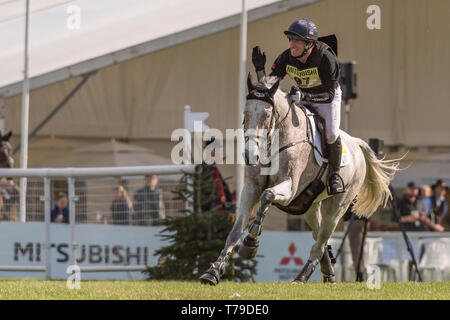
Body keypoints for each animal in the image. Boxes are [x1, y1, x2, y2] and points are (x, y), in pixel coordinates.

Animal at [200, 75, 400, 284]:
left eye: (267, 116)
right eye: (245, 114)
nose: (250, 155)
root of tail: (356, 144)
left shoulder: (288, 190)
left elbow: (267, 196)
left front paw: (251, 242)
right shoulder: (251, 188)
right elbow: (236, 230)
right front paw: (213, 272)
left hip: (337, 207)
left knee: (320, 242)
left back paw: (301, 276)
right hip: (310, 206)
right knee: (320, 237)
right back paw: (328, 274)